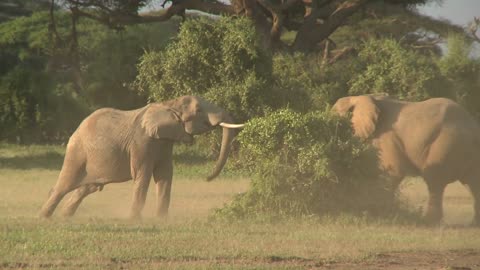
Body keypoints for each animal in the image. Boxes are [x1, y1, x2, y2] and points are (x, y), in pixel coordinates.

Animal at [38, 96, 244, 218]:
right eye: (199, 110)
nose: (206, 178)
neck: (169, 105)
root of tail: (77, 128)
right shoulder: (141, 142)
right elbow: (142, 175)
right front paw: (134, 220)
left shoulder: (164, 142)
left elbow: (165, 175)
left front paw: (161, 220)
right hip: (77, 152)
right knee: (64, 185)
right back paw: (43, 217)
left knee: (87, 187)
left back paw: (65, 216)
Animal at [332, 94, 480, 225]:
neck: (360, 97)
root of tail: (472, 125)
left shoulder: (386, 137)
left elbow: (392, 172)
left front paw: (381, 213)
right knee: (473, 183)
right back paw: (473, 224)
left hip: (446, 143)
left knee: (434, 180)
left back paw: (427, 221)